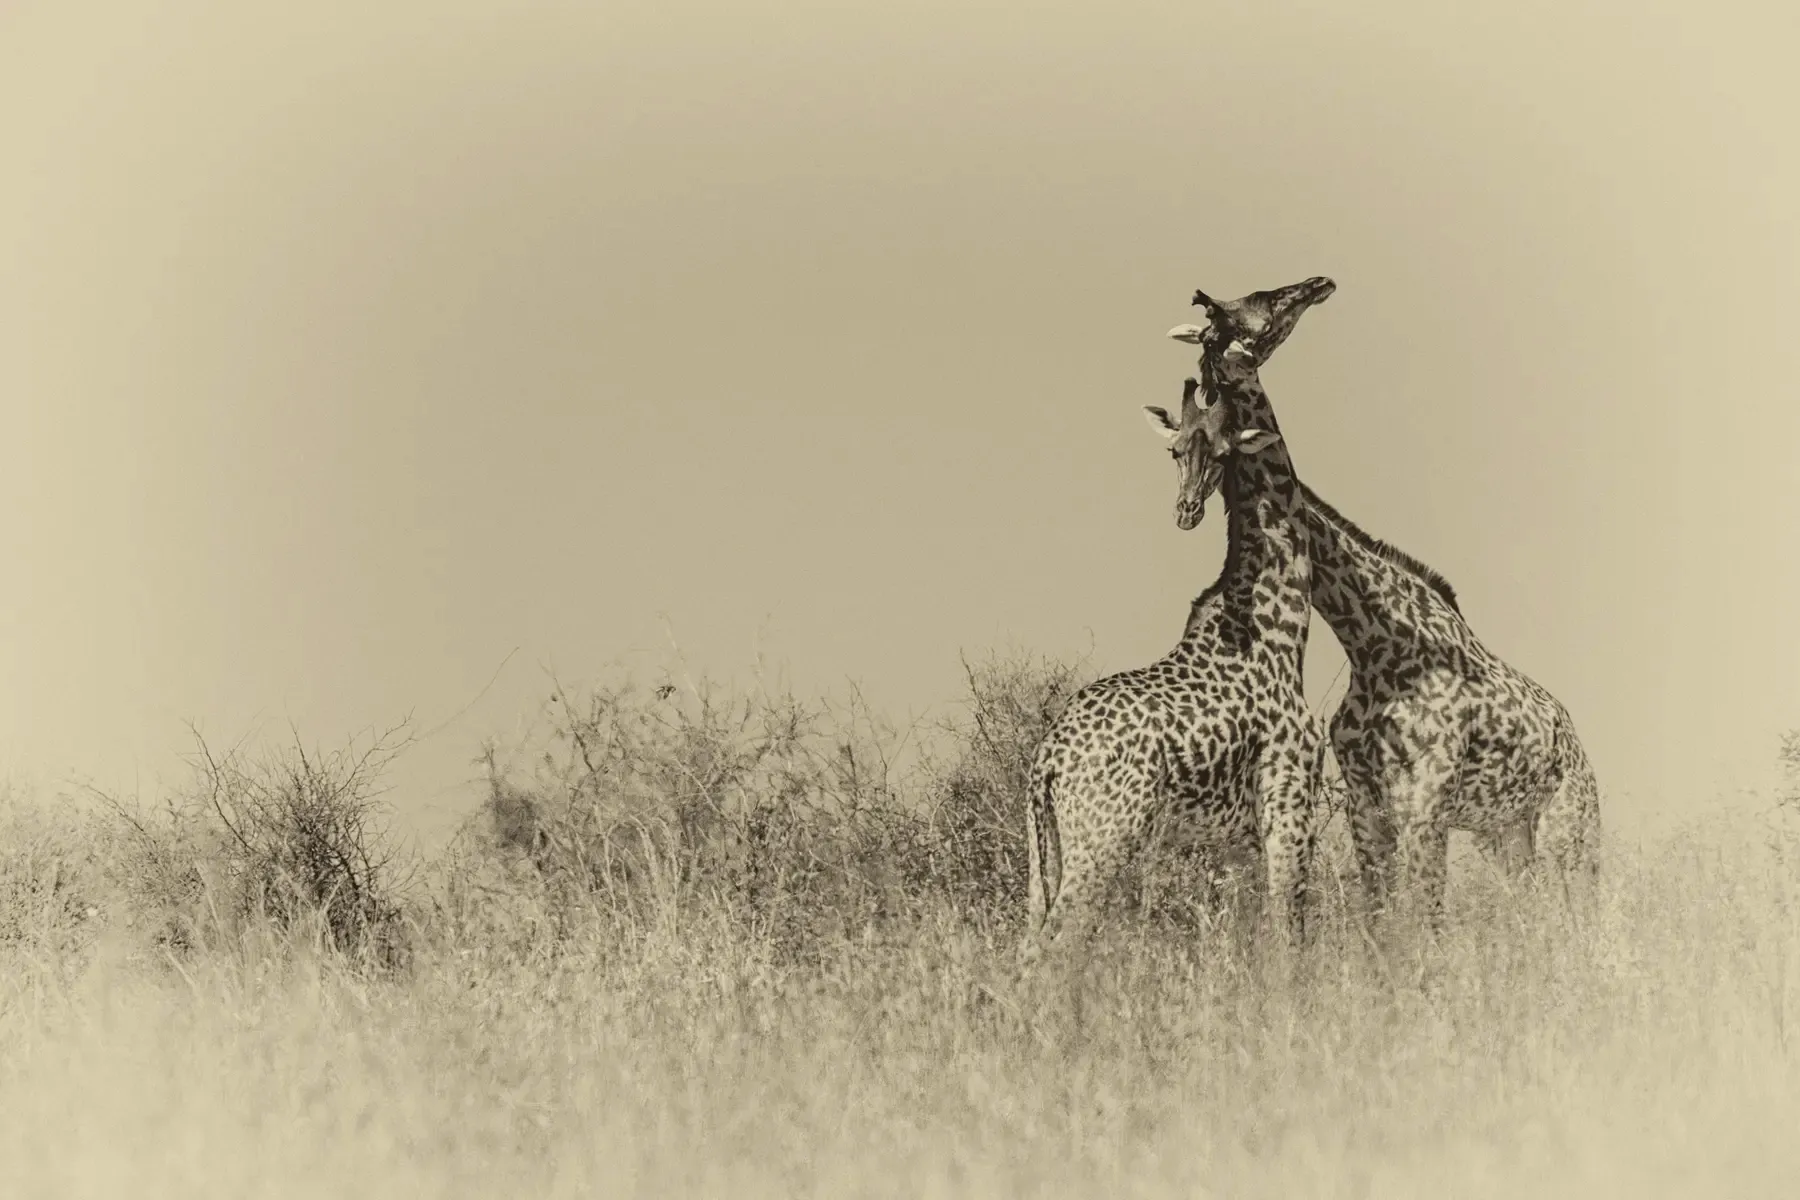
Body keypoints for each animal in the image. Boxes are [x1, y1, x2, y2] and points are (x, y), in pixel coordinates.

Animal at [1019, 276, 1336, 970]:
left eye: (1215, 450)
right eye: (1261, 302)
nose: (1318, 283)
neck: (1280, 628)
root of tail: (1045, 763)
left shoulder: (1236, 840)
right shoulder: (1287, 807)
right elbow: (1288, 943)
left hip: (1043, 853)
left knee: (1027, 947)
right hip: (1102, 841)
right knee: (1056, 948)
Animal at [1167, 296, 1603, 938]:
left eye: (1263, 309)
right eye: (1176, 450)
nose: (1188, 509)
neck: (1373, 643)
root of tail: (1574, 738)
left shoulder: (1425, 803)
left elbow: (1425, 920)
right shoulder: (1366, 805)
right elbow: (1381, 923)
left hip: (1569, 826)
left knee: (1581, 909)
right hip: (1504, 833)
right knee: (1535, 913)